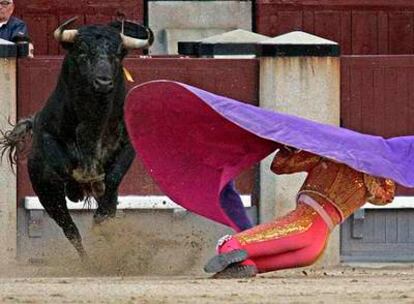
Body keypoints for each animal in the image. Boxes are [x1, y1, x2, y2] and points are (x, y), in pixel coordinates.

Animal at [0, 17, 154, 260]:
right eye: (82, 51)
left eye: (118, 53)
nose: (103, 82)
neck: (94, 119)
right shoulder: (49, 138)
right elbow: (66, 165)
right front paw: (80, 183)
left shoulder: (128, 145)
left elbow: (112, 179)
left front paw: (100, 207)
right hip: (47, 193)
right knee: (69, 228)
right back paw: (86, 259)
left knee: (106, 205)